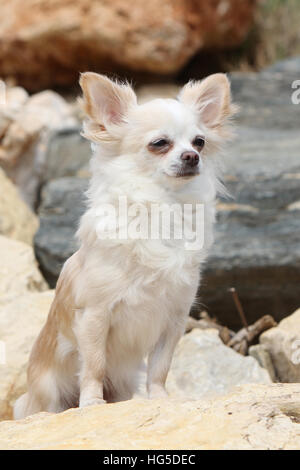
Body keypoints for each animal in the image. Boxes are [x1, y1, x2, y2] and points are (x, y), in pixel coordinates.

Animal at [13, 70, 234, 418]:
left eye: (200, 141)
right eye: (160, 143)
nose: (192, 156)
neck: (163, 205)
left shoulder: (174, 318)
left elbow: (160, 367)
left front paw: (161, 399)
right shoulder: (95, 315)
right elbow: (94, 365)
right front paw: (91, 403)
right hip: (47, 393)